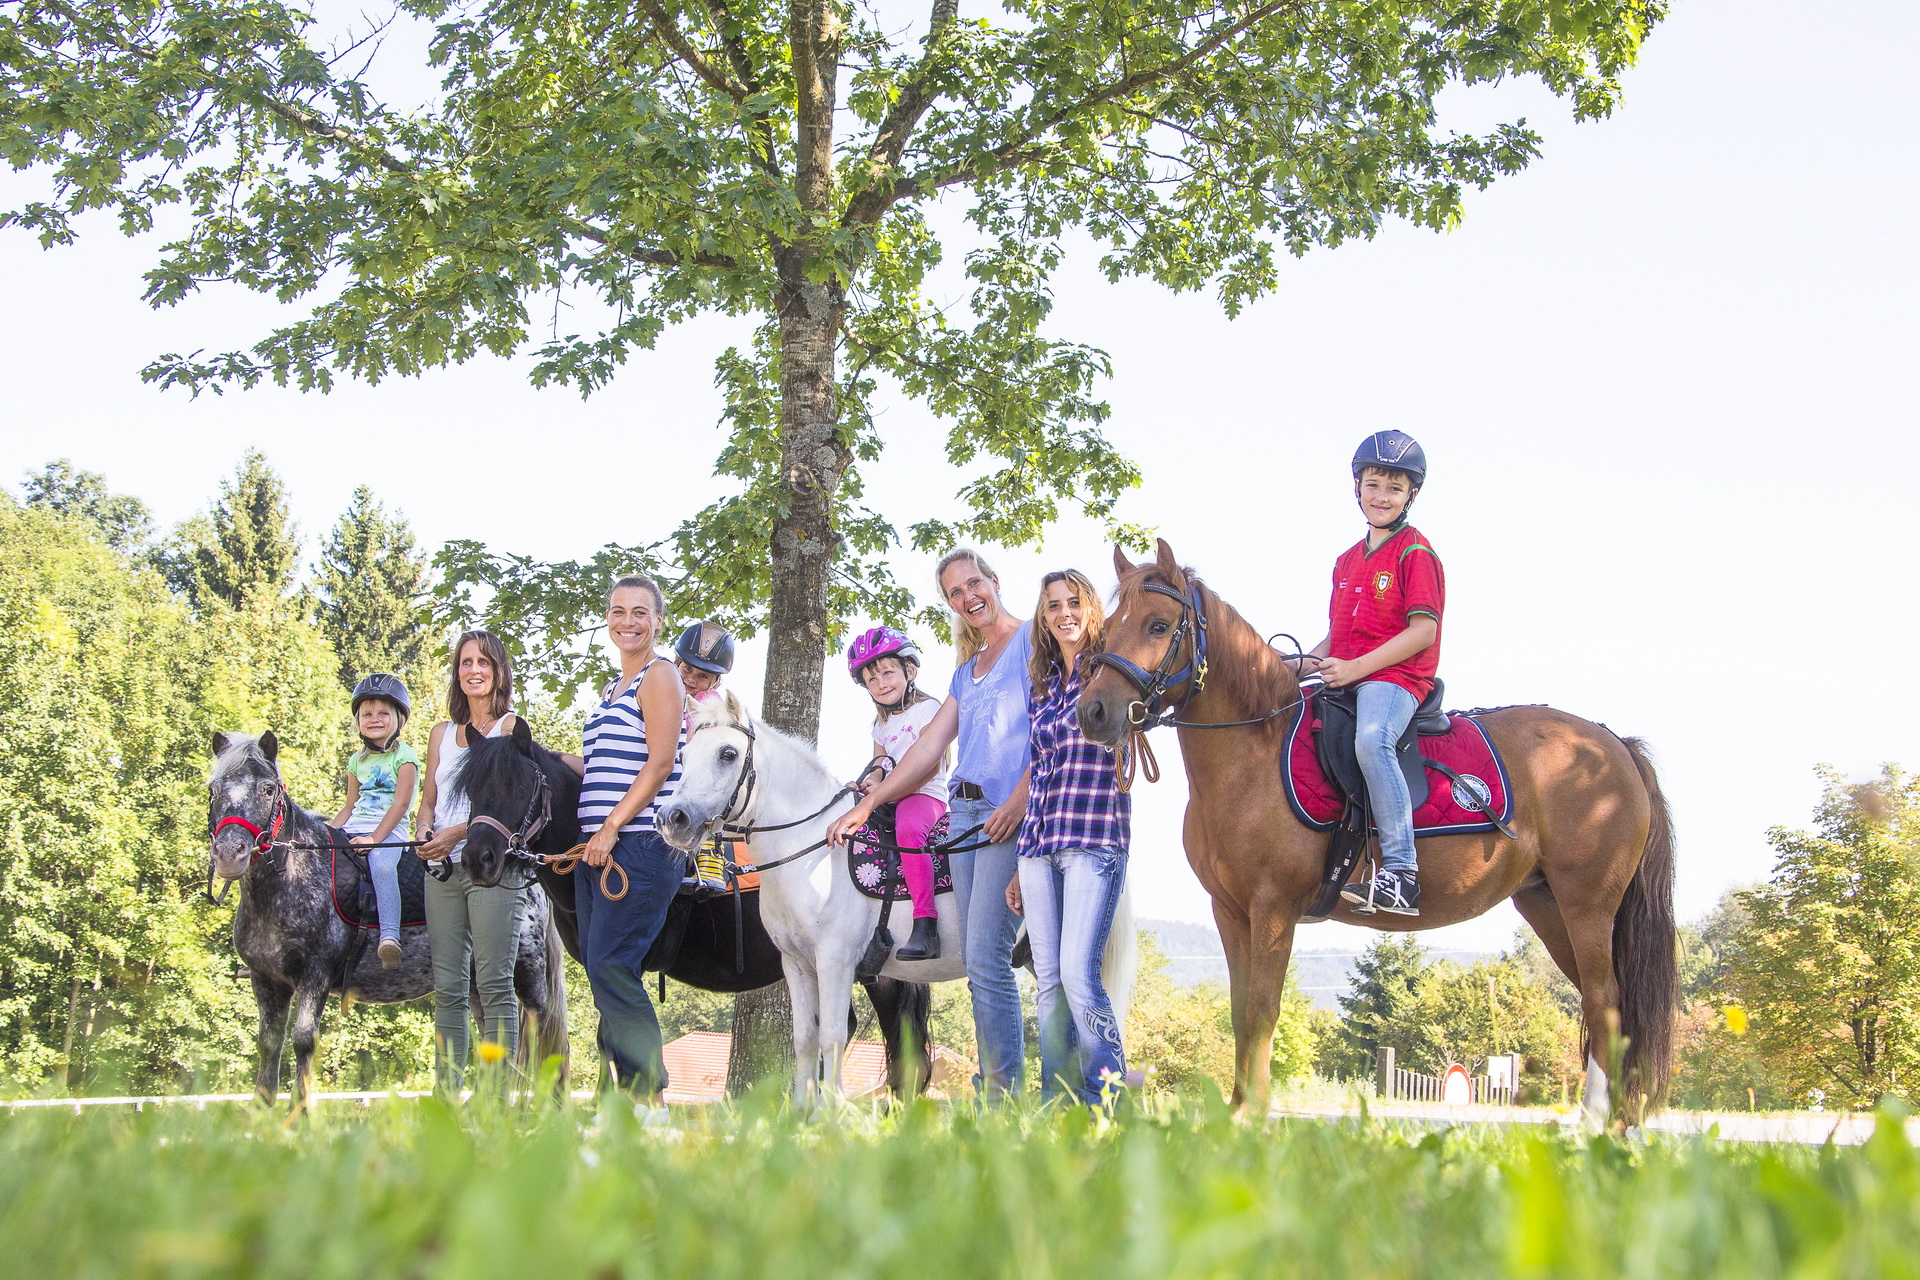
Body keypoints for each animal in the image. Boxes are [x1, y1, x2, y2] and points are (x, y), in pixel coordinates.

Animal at [212, 736, 568, 1105]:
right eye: (214, 789)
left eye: (268, 789)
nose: (229, 854)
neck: (295, 877)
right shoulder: (267, 981)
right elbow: (269, 1045)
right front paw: (262, 1111)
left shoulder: (315, 974)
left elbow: (303, 1041)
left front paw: (301, 1112)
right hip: (474, 985)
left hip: (527, 975)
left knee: (542, 1036)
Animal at [660, 690, 1128, 1105]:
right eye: (683, 757)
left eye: (727, 754)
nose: (672, 818)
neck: (812, 851)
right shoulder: (796, 964)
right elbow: (805, 1040)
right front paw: (801, 1120)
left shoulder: (835, 961)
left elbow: (831, 1037)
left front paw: (829, 1119)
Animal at [1082, 541, 1681, 1120]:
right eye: (1107, 628)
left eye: (1159, 625)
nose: (1094, 712)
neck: (1255, 752)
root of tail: (1615, 746)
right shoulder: (1229, 910)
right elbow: (1238, 1010)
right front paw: (1234, 1111)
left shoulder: (1274, 907)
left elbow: (1263, 1008)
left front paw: (1253, 1114)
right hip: (1548, 904)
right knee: (1604, 1006)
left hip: (1588, 904)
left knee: (1605, 1003)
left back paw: (1597, 1121)